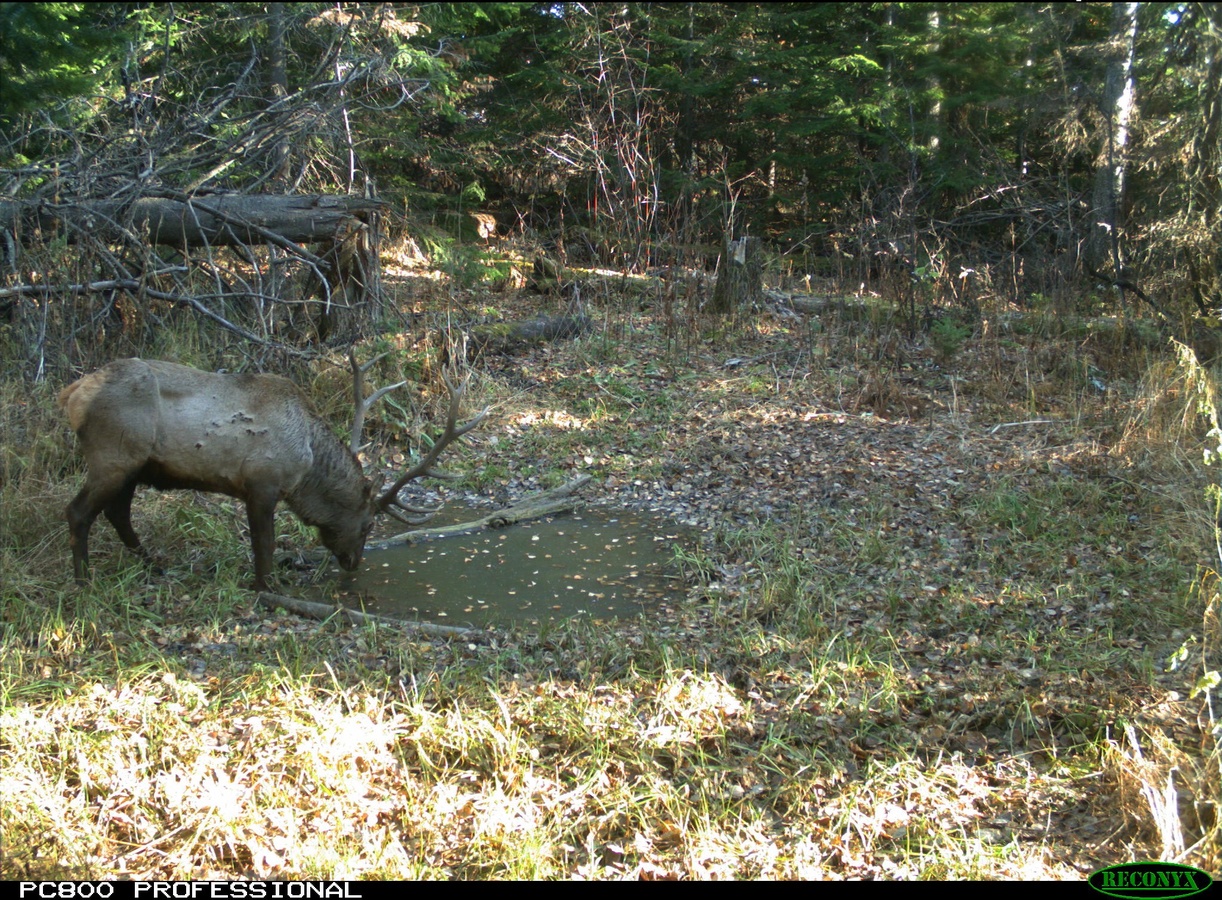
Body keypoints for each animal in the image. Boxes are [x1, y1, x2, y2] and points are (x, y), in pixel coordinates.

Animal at [59, 354, 483, 594]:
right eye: (367, 525)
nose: (353, 563)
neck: (306, 467)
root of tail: (73, 393)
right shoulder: (262, 482)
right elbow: (264, 544)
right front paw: (267, 588)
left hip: (133, 466)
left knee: (117, 513)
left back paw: (153, 564)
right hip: (113, 455)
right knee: (78, 511)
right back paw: (82, 582)